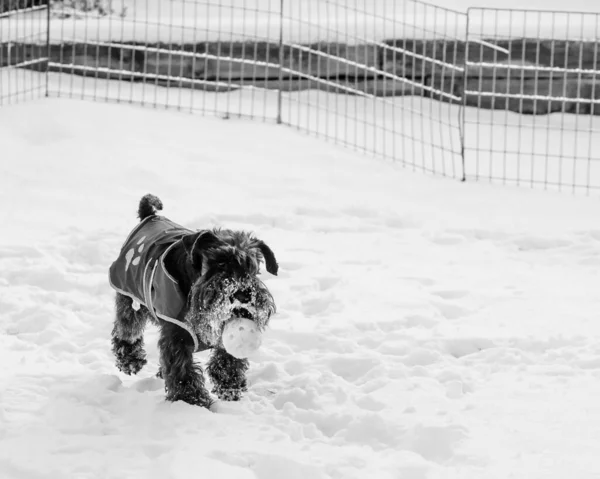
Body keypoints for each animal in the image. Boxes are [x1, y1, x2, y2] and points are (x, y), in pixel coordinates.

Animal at [109, 195, 278, 408]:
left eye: (252, 267)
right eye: (219, 262)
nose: (244, 294)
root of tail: (150, 216)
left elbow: (227, 358)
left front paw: (230, 387)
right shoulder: (176, 337)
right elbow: (182, 371)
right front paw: (192, 401)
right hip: (130, 301)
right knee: (126, 330)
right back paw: (130, 360)